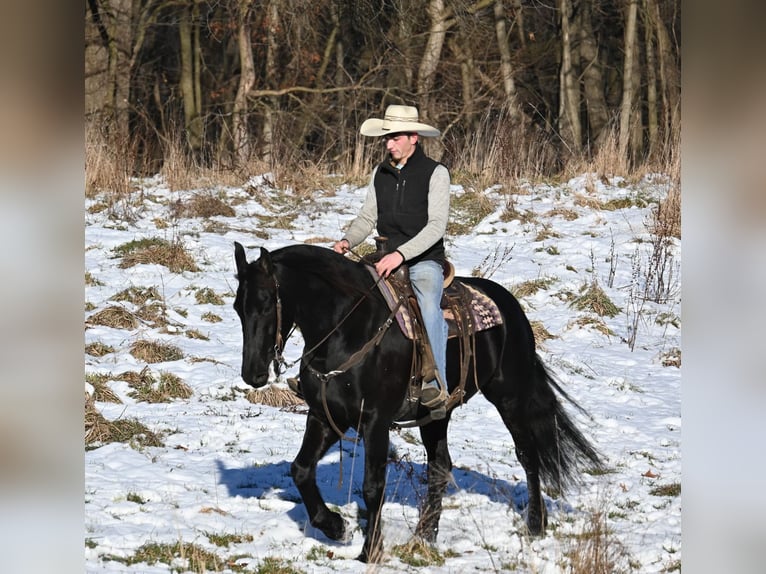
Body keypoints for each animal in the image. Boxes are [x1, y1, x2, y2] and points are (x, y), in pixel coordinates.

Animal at [231, 242, 604, 564]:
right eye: (238, 307)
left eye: (267, 302)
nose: (253, 373)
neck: (348, 329)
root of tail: (509, 306)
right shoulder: (325, 415)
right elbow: (301, 469)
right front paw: (336, 527)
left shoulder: (375, 420)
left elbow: (372, 487)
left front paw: (370, 552)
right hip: (436, 415)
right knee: (440, 467)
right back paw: (425, 534)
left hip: (509, 396)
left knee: (528, 455)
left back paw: (534, 525)